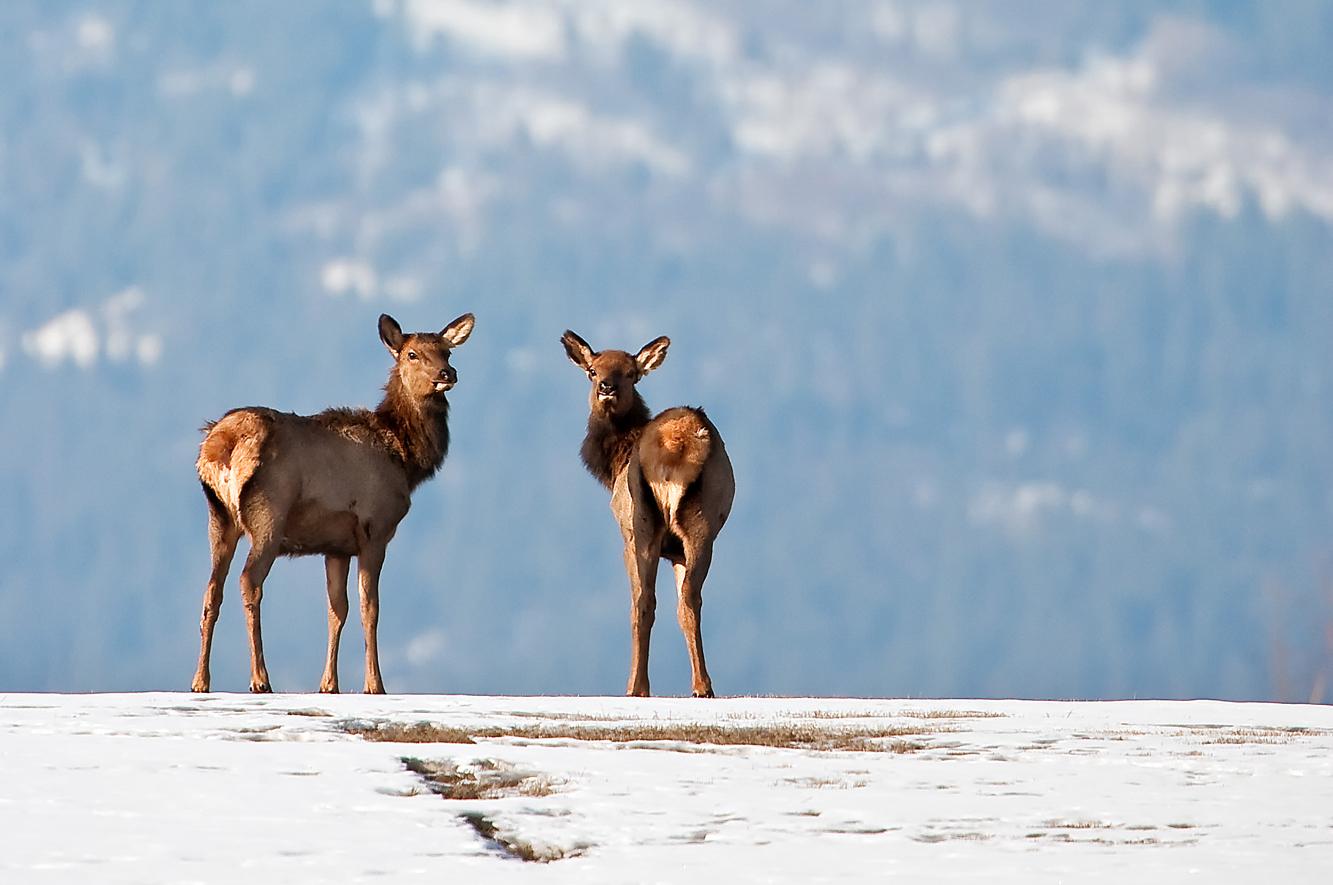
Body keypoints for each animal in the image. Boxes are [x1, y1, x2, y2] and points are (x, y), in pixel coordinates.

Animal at [190, 310, 477, 693]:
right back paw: (260, 678)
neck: (406, 460)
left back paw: (200, 681)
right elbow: (369, 607)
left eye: (447, 351)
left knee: (211, 592)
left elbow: (336, 609)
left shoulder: (336, 545)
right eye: (412, 354)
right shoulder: (375, 528)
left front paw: (329, 684)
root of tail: (220, 443)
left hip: (219, 517)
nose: (447, 374)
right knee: (249, 582)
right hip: (268, 513)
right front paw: (375, 684)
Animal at [557, 331, 735, 698]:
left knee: (643, 603)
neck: (614, 463)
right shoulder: (677, 553)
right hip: (701, 526)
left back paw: (636, 686)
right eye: (593, 370)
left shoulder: (626, 531)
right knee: (690, 600)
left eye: (631, 373)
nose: (606, 387)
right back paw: (703, 686)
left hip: (643, 527)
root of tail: (678, 445)